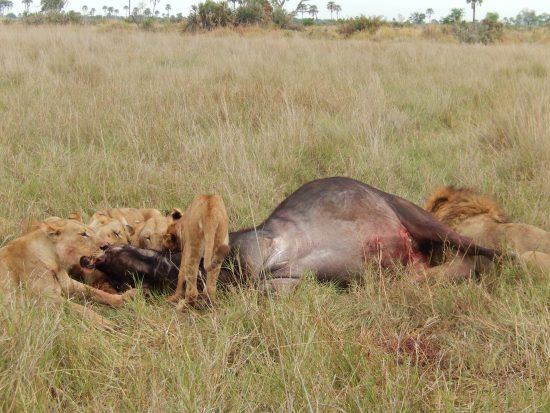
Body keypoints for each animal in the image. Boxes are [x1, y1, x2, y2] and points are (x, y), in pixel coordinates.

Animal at [0, 217, 134, 326]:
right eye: (83, 234)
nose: (106, 246)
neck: (55, 262)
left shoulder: (68, 283)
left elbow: (97, 292)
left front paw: (126, 298)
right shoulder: (44, 299)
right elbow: (81, 309)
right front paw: (107, 323)